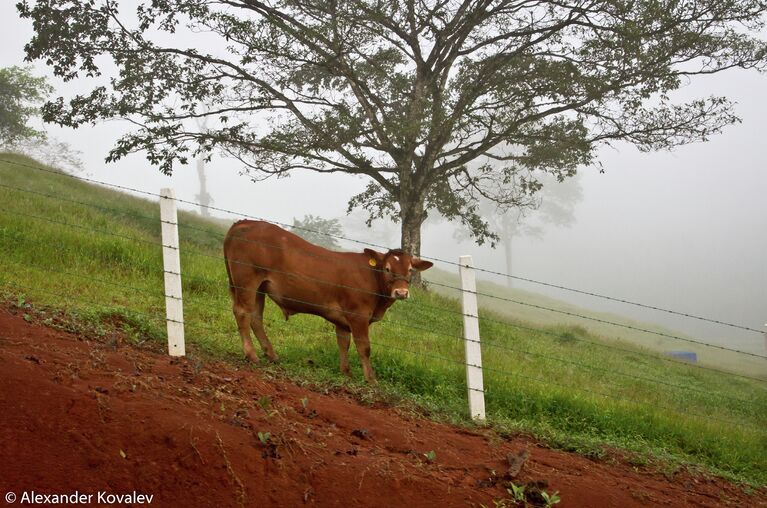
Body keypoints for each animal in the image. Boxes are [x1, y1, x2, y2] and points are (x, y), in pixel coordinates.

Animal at [225, 220, 436, 382]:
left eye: (410, 270)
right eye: (387, 269)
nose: (401, 292)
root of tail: (244, 222)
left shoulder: (343, 320)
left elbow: (343, 343)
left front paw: (346, 372)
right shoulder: (358, 315)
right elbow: (364, 347)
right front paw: (371, 379)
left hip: (260, 287)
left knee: (256, 317)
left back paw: (271, 354)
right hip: (247, 281)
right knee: (242, 312)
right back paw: (251, 354)